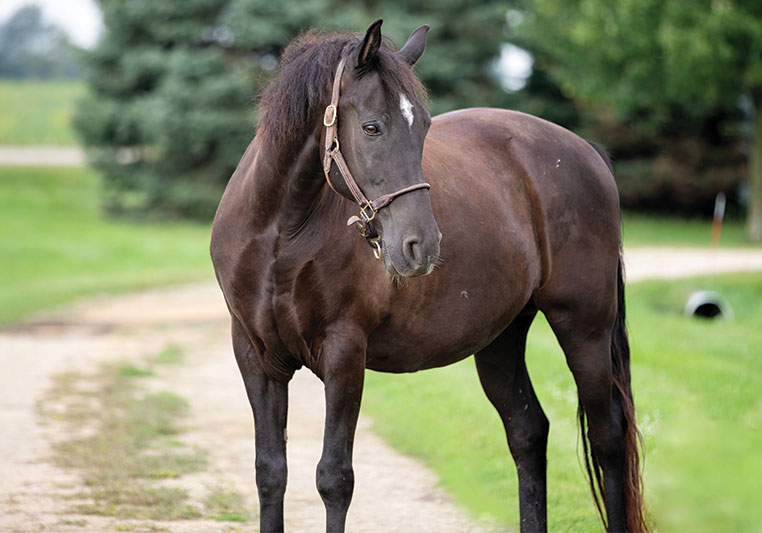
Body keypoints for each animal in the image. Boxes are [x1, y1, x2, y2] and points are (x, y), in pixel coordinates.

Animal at [210, 19, 647, 533]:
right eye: (372, 127)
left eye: (423, 126)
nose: (421, 246)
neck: (281, 233)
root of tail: (587, 152)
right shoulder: (256, 356)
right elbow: (270, 473)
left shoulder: (344, 354)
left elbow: (334, 478)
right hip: (501, 338)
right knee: (528, 432)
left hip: (584, 329)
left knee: (607, 440)